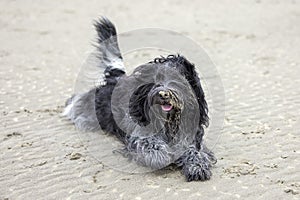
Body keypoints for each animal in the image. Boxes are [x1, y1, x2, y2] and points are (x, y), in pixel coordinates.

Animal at [64, 17, 217, 181]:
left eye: (178, 78)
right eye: (157, 78)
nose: (163, 94)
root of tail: (117, 77)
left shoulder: (191, 137)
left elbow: (194, 150)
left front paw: (197, 165)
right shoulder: (139, 133)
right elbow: (150, 143)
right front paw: (161, 156)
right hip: (98, 105)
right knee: (78, 101)